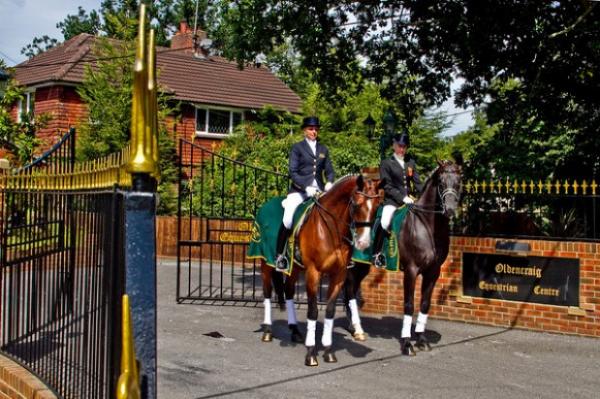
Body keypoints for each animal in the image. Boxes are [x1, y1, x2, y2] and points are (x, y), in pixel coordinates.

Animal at [260, 173, 382, 368]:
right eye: (356, 204)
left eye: (377, 206)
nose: (363, 243)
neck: (331, 229)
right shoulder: (313, 272)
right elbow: (313, 311)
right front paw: (311, 353)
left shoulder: (339, 275)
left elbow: (330, 310)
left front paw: (328, 350)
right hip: (266, 264)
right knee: (266, 292)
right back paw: (268, 331)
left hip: (295, 268)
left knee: (288, 291)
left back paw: (295, 331)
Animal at [344, 161, 462, 358]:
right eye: (440, 182)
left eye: (459, 181)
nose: (450, 210)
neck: (427, 226)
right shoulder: (411, 271)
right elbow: (409, 305)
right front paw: (407, 344)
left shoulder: (433, 272)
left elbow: (424, 304)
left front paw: (421, 340)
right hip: (353, 265)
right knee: (350, 291)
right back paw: (356, 329)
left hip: (363, 267)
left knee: (349, 290)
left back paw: (353, 328)